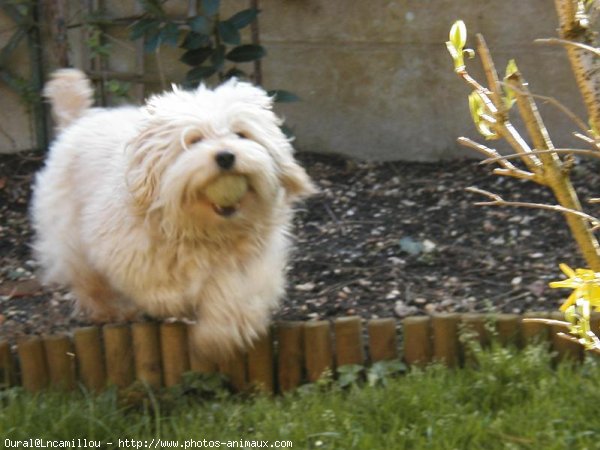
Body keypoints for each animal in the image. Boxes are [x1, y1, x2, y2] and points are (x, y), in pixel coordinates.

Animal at [32, 69, 316, 358]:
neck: (203, 228)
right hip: (70, 236)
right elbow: (157, 286)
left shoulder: (248, 264)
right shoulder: (129, 250)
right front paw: (174, 302)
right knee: (89, 281)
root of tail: (81, 119)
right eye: (194, 139)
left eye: (241, 134)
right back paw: (112, 311)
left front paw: (217, 338)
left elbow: (233, 295)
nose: (226, 156)